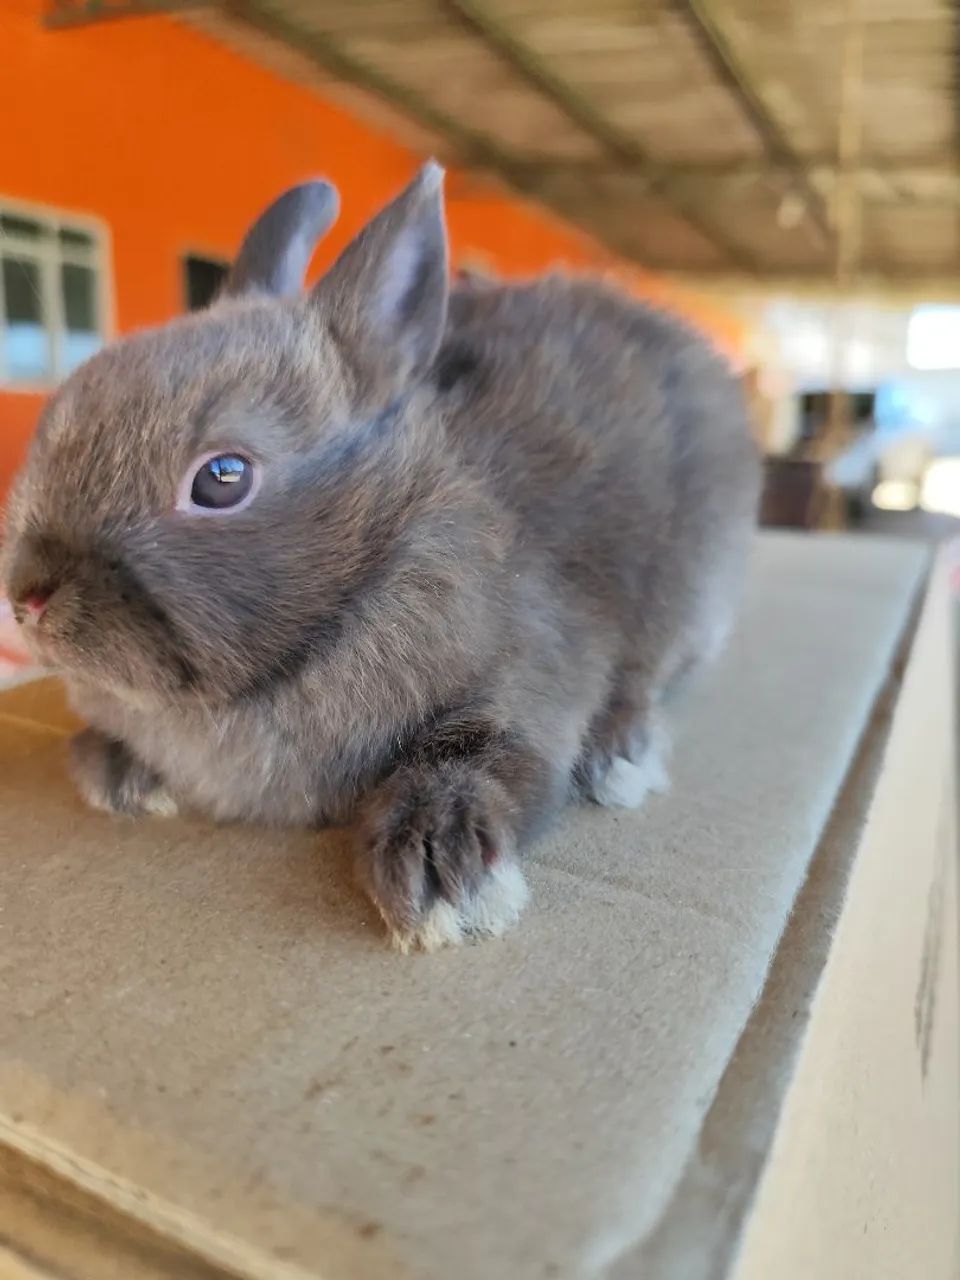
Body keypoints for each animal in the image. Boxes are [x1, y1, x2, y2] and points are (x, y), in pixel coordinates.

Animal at [2, 163, 760, 951]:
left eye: (222, 478)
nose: (26, 595)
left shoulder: (535, 662)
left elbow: (484, 746)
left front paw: (441, 876)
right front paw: (116, 773)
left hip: (688, 593)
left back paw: (618, 757)